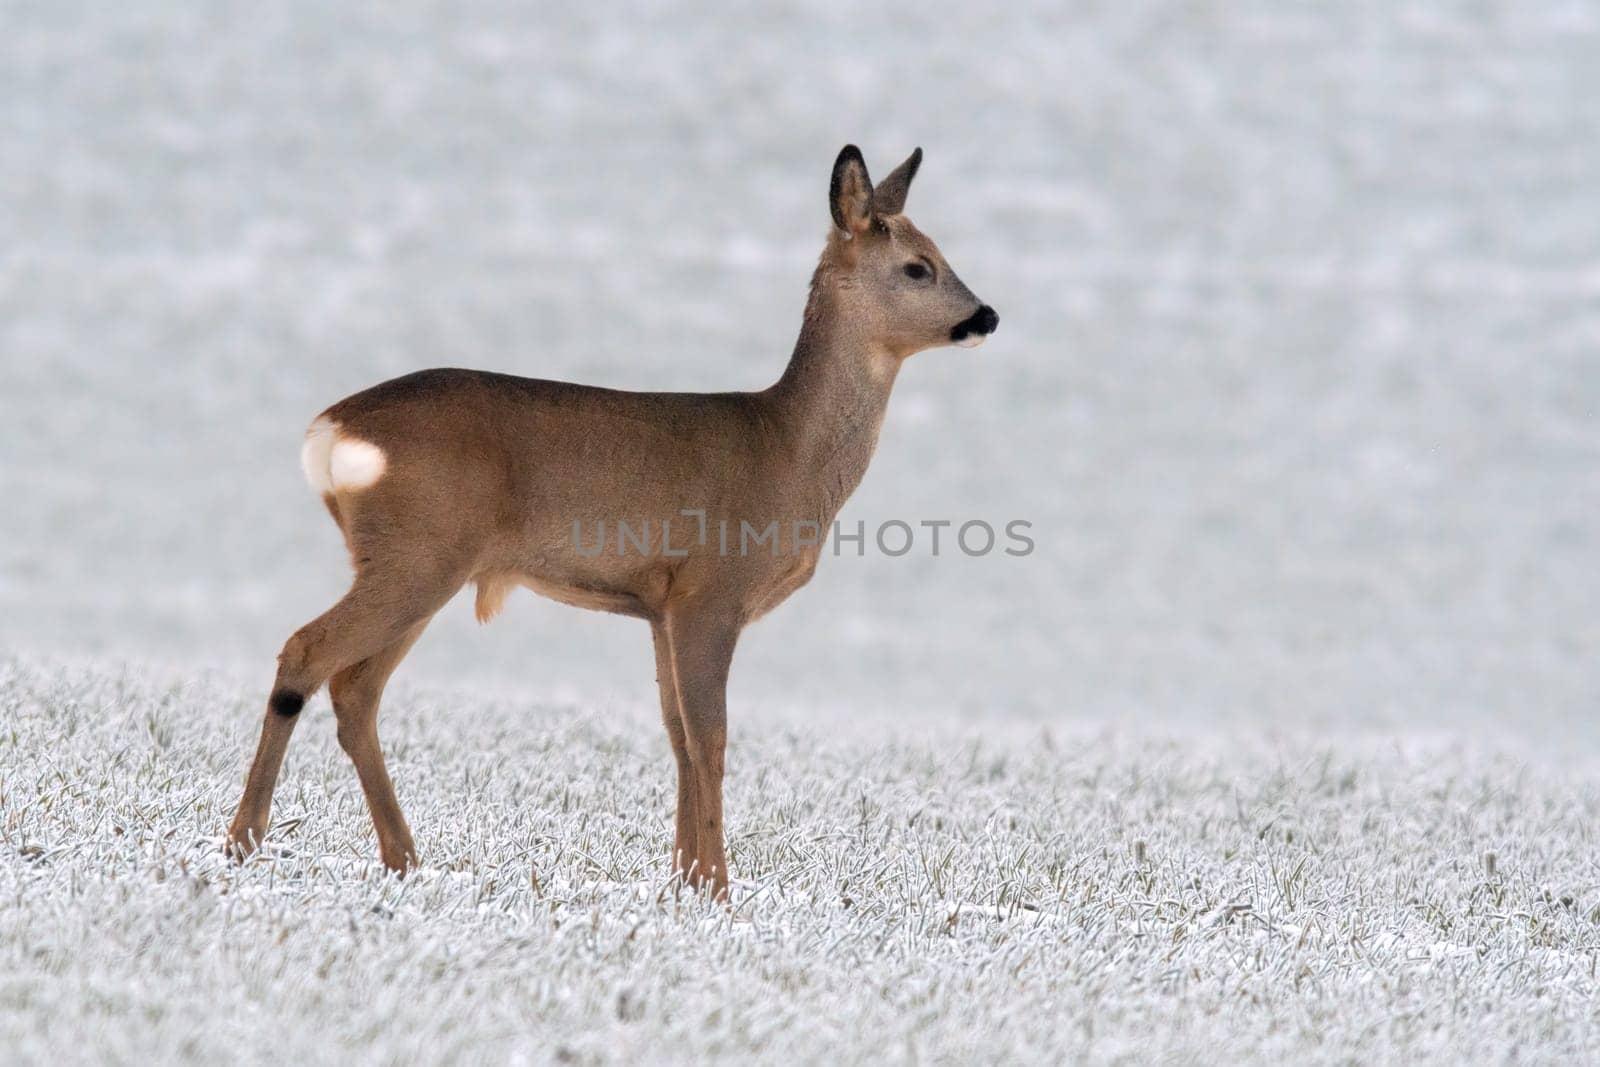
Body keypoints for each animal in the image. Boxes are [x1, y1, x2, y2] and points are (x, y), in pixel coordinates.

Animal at [225, 146, 998, 895]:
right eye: (918, 265)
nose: (986, 316)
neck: (786, 451)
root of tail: (331, 427)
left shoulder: (659, 606)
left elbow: (678, 735)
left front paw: (684, 880)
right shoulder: (709, 593)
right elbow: (711, 737)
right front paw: (719, 889)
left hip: (414, 565)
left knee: (356, 689)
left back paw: (403, 859)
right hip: (419, 555)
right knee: (306, 652)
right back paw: (244, 840)